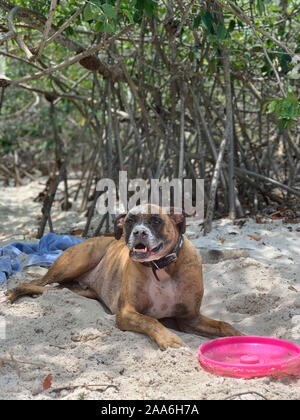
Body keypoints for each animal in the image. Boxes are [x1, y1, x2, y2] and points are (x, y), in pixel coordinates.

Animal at [6, 205, 241, 350]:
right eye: (130, 221)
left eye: (156, 220)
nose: (139, 232)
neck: (160, 268)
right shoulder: (127, 312)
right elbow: (151, 320)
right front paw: (170, 339)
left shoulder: (189, 319)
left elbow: (224, 325)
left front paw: (238, 335)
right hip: (74, 263)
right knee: (31, 281)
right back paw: (10, 294)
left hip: (74, 290)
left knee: (39, 287)